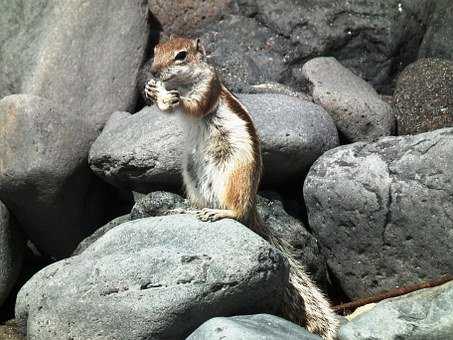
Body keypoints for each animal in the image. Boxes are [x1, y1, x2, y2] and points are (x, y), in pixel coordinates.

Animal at [143, 35, 338, 338]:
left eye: (181, 56)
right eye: (155, 50)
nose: (153, 72)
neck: (182, 83)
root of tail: (252, 206)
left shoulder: (208, 90)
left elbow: (193, 106)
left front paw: (170, 98)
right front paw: (152, 91)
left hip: (233, 176)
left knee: (235, 210)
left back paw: (219, 212)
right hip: (192, 174)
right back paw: (187, 210)